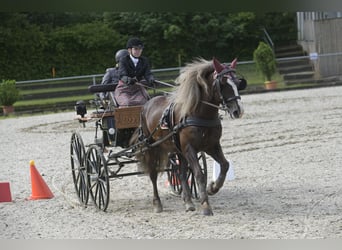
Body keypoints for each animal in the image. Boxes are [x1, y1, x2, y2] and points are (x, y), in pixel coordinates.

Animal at [130, 57, 246, 215]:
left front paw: (213, 188)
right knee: (153, 174)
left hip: (178, 150)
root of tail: (147, 104)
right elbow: (199, 175)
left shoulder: (212, 146)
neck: (200, 114)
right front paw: (206, 205)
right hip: (152, 148)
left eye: (238, 82)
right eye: (223, 83)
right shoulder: (189, 148)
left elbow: (225, 165)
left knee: (181, 173)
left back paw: (188, 201)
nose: (238, 111)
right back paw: (157, 203)